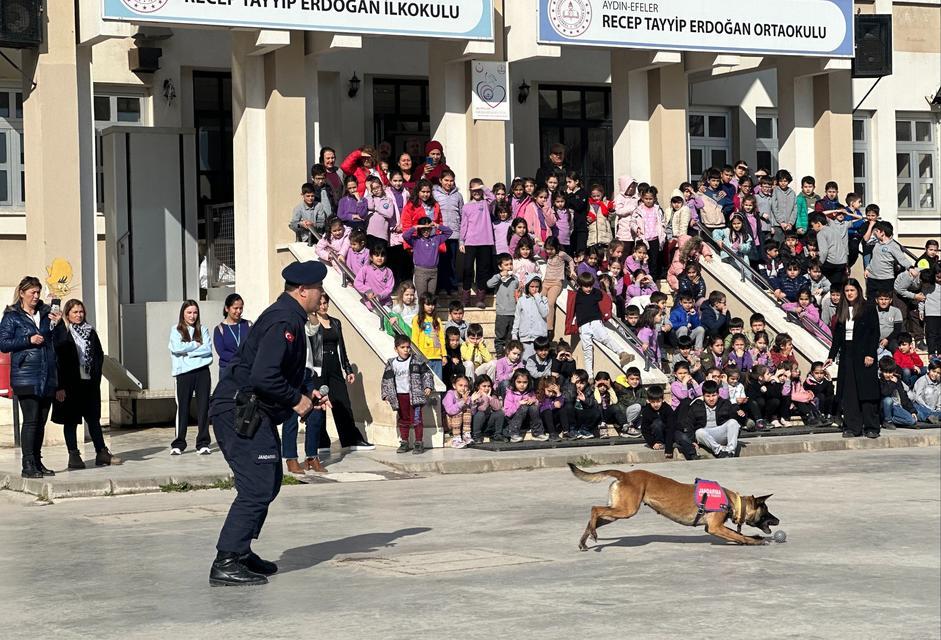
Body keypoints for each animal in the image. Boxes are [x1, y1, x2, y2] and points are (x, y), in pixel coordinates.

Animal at [564, 464, 780, 552]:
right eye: (766, 511)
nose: (778, 520)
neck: (733, 501)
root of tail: (625, 475)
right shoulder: (715, 528)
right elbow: (739, 536)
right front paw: (754, 542)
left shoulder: (715, 527)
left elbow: (741, 534)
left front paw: (755, 537)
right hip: (626, 510)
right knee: (594, 509)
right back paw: (592, 536)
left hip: (617, 512)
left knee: (594, 518)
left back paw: (585, 540)